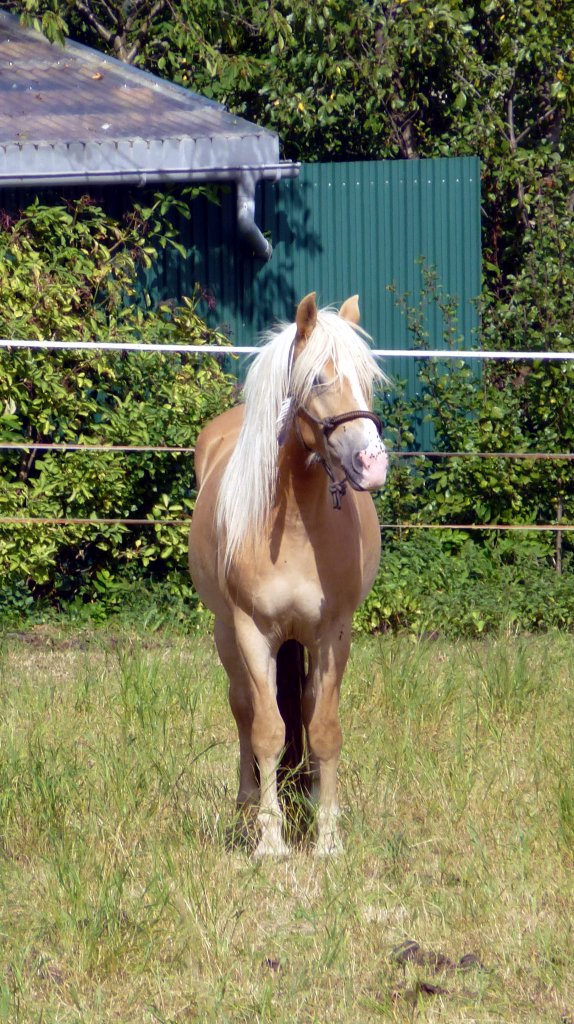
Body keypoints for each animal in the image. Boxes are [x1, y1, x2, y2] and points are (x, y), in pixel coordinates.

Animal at [190, 290, 386, 856]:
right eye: (318, 379)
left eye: (369, 378)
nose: (373, 462)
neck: (297, 524)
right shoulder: (253, 633)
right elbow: (267, 732)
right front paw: (270, 840)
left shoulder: (333, 634)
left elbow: (323, 729)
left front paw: (327, 837)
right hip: (225, 635)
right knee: (242, 712)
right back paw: (245, 811)